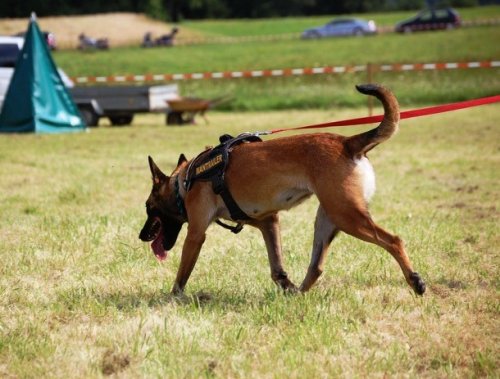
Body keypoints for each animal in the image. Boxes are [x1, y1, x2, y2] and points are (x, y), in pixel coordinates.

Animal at [138, 84, 426, 296]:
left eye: (149, 208)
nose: (141, 236)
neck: (186, 180)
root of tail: (347, 143)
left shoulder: (196, 234)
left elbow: (182, 273)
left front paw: (172, 298)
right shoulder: (269, 222)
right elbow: (276, 267)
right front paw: (285, 285)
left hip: (347, 216)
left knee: (393, 240)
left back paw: (415, 281)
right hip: (327, 219)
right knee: (316, 266)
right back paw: (298, 294)